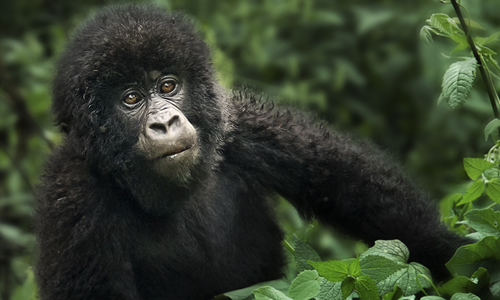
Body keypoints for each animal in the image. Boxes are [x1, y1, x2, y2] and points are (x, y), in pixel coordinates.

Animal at [35, 4, 468, 300]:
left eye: (168, 86)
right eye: (131, 99)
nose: (165, 123)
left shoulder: (238, 124)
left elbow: (345, 183)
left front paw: (458, 253)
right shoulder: (72, 198)